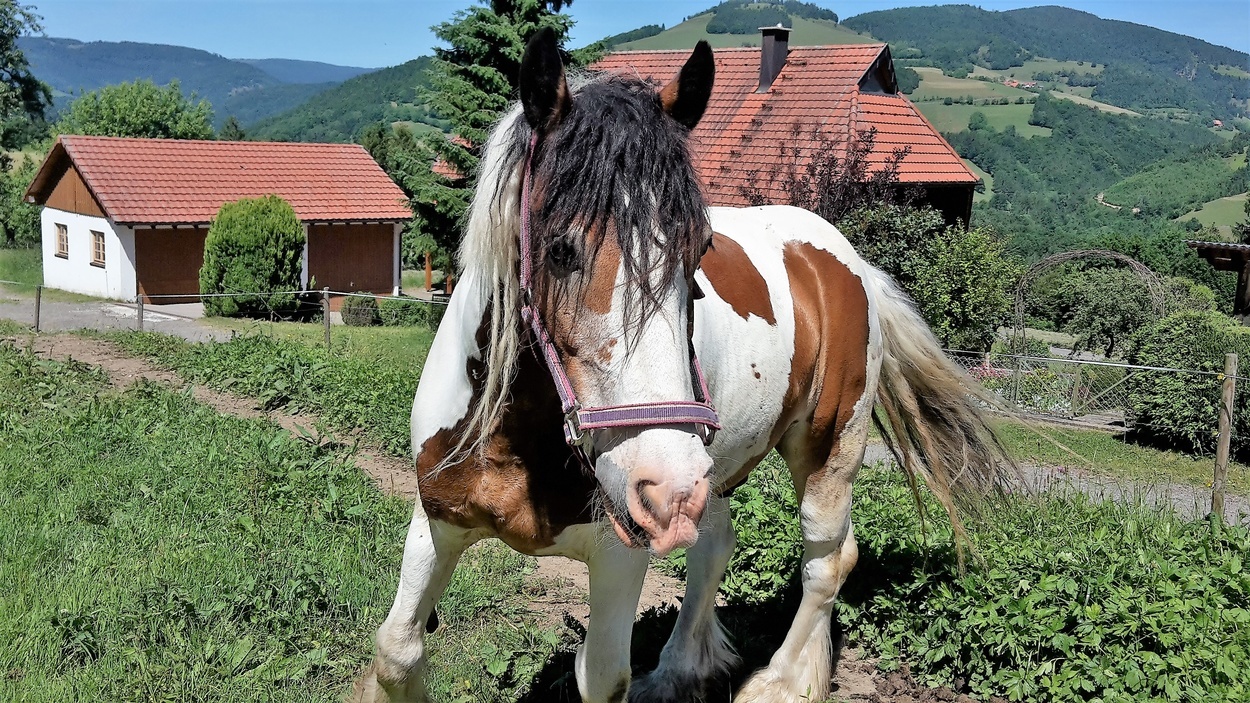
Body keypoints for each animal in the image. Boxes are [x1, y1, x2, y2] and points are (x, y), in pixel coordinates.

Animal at [354, 28, 1009, 703]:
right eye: (560, 250)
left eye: (698, 254)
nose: (660, 487)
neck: (521, 439)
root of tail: (848, 262)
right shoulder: (437, 520)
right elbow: (397, 650)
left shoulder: (620, 558)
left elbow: (603, 677)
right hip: (712, 474)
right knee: (716, 547)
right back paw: (679, 671)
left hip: (822, 452)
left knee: (827, 560)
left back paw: (780, 681)